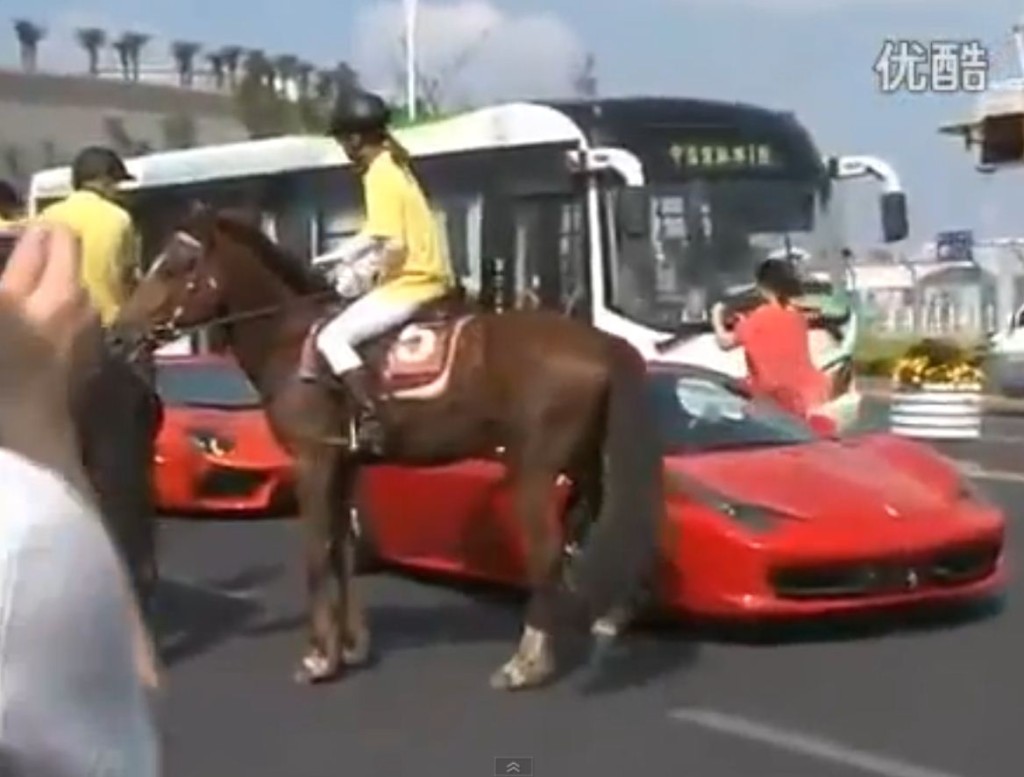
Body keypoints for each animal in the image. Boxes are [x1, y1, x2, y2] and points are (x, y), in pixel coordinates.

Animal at [114, 207, 663, 692]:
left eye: (173, 267)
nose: (120, 333)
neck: (294, 341)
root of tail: (601, 342)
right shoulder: (344, 462)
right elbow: (340, 550)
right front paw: (350, 646)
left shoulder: (314, 460)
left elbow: (317, 553)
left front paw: (319, 658)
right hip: (584, 464)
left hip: (534, 467)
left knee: (547, 551)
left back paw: (527, 663)